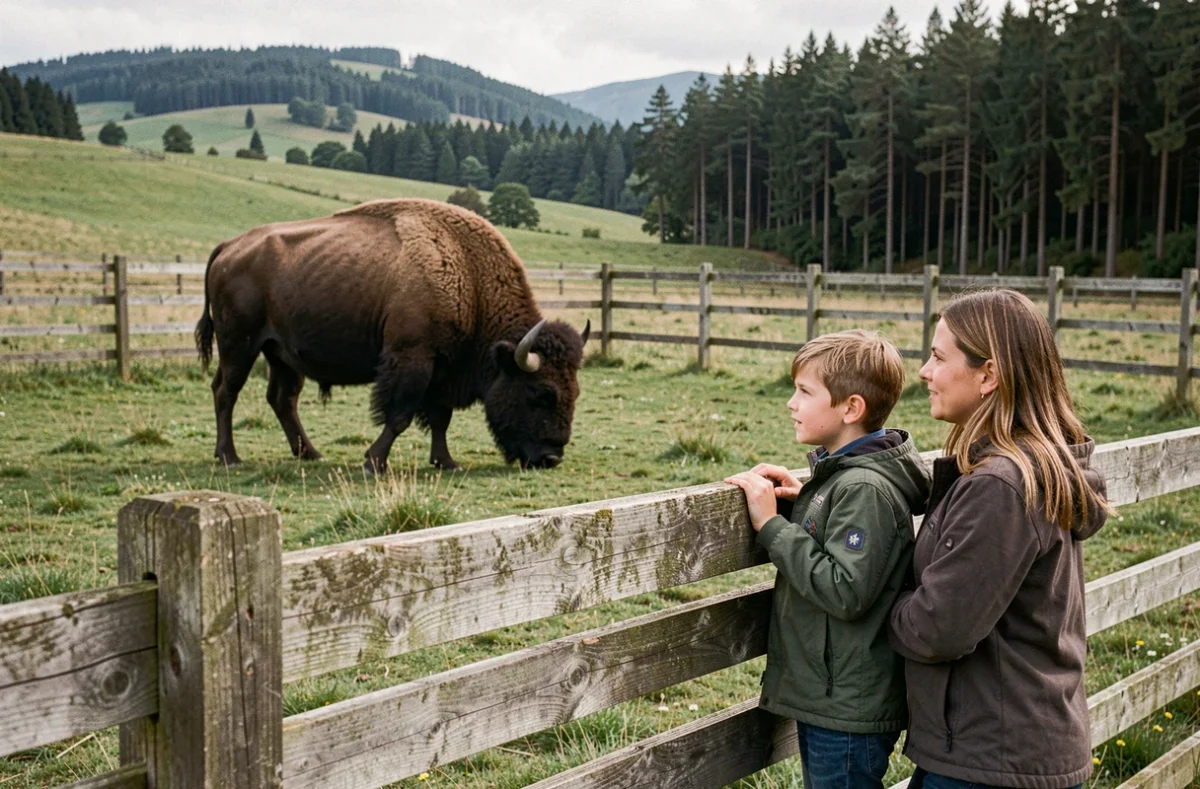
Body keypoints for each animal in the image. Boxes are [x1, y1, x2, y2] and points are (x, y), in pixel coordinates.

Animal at [195, 198, 589, 472]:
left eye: (575, 392)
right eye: (542, 393)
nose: (551, 458)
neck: (467, 275)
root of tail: (230, 247)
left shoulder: (443, 369)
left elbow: (440, 418)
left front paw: (446, 462)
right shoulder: (412, 358)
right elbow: (399, 415)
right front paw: (374, 462)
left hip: (280, 353)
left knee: (282, 398)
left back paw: (311, 454)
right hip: (239, 345)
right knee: (225, 391)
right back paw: (229, 457)